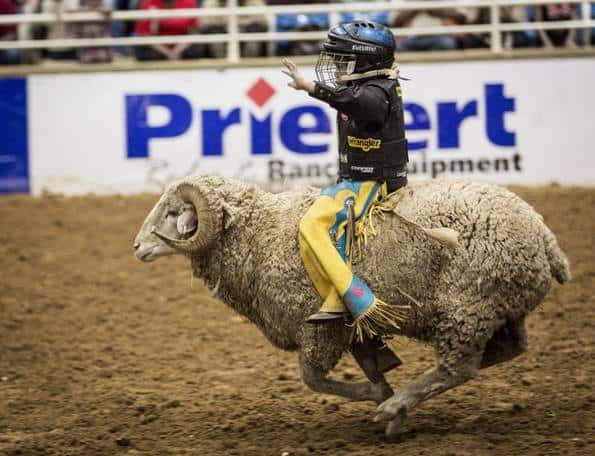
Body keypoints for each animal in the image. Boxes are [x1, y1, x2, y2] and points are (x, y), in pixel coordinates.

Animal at [133, 173, 572, 436]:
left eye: (174, 212)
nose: (136, 247)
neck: (261, 235)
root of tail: (544, 239)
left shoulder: (318, 328)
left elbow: (313, 379)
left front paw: (379, 395)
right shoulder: (351, 326)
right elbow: (367, 358)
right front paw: (383, 389)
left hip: (466, 307)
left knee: (457, 369)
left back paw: (396, 406)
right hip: (497, 306)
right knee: (509, 348)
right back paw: (401, 407)